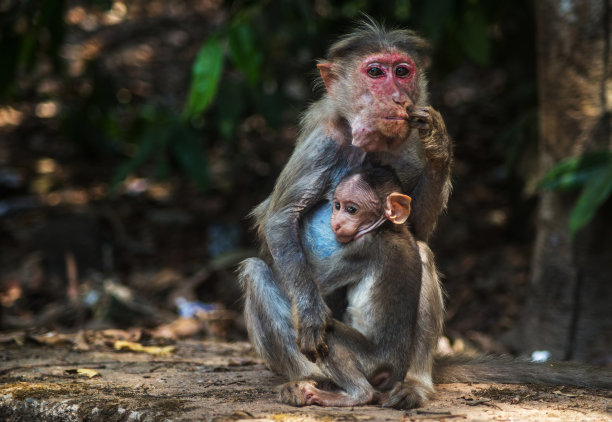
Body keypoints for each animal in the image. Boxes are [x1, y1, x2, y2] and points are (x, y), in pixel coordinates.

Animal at [239, 20, 450, 408]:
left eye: (402, 71)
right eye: (375, 72)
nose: (397, 96)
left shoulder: (407, 147)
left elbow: (415, 229)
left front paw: (439, 143)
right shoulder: (324, 140)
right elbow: (280, 218)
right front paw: (310, 315)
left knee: (422, 252)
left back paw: (414, 383)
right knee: (256, 272)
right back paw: (308, 380)